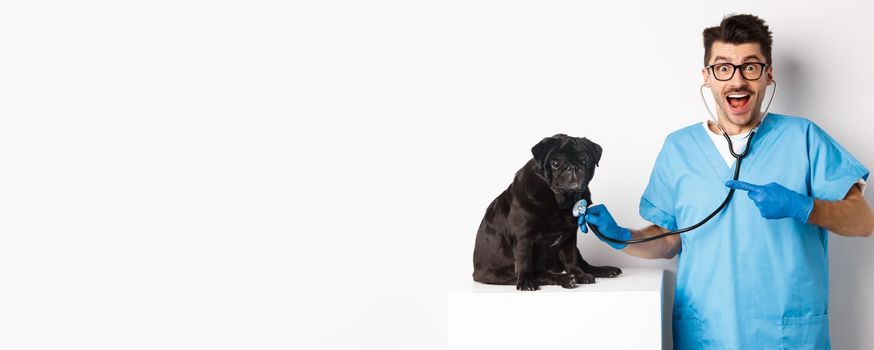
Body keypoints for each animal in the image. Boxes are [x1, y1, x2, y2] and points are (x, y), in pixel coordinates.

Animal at [470, 133, 620, 290]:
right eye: (555, 163)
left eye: (584, 162)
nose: (572, 167)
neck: (559, 201)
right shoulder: (524, 238)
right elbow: (524, 263)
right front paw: (525, 282)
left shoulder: (569, 237)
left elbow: (571, 259)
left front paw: (579, 275)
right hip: (501, 273)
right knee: (539, 274)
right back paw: (564, 279)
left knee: (581, 264)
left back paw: (602, 271)